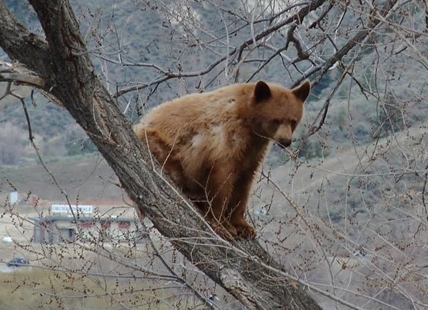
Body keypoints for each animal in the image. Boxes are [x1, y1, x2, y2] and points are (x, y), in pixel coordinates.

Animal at [135, 80, 310, 240]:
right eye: (275, 120)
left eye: (293, 120)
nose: (286, 141)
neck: (247, 119)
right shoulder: (226, 140)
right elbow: (222, 180)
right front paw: (222, 225)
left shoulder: (253, 152)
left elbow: (244, 183)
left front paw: (243, 226)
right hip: (161, 144)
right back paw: (193, 193)